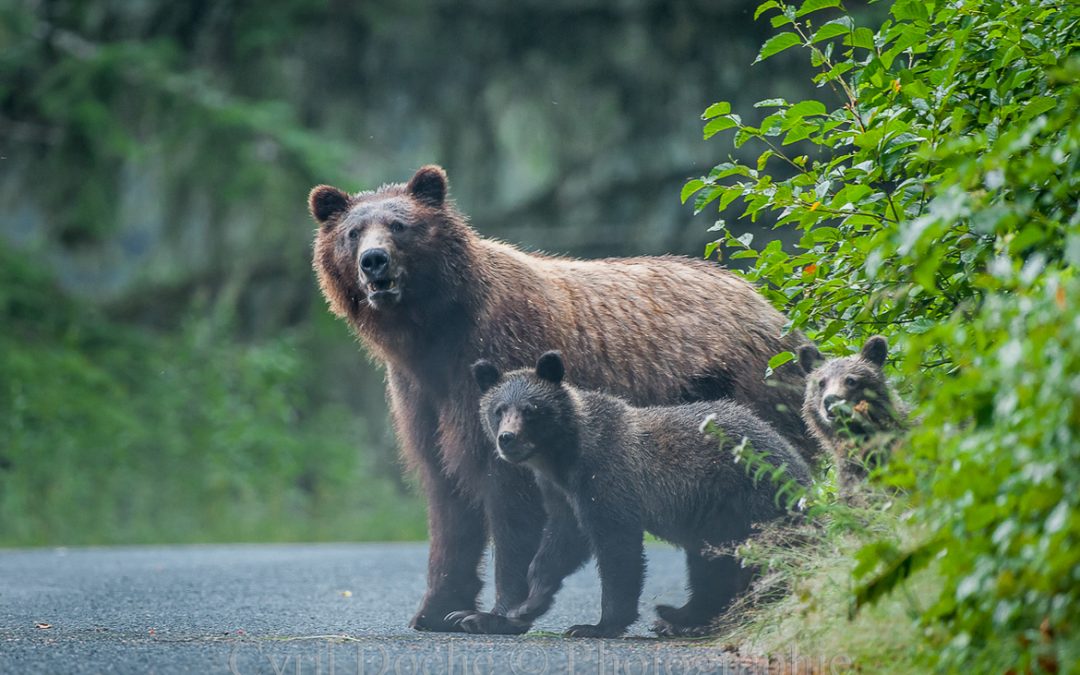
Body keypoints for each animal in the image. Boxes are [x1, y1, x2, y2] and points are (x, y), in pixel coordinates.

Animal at [445, 351, 812, 638]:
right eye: (499, 408)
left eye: (531, 408)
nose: (507, 438)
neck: (563, 457)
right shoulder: (562, 495)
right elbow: (558, 546)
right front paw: (519, 606)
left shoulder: (608, 479)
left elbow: (617, 550)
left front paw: (596, 625)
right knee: (708, 563)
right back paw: (678, 616)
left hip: (748, 499)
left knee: (759, 555)